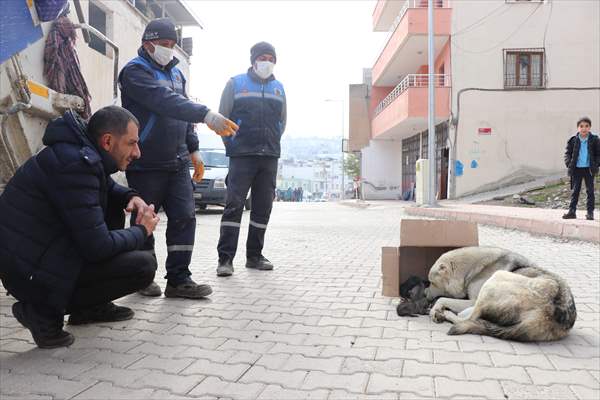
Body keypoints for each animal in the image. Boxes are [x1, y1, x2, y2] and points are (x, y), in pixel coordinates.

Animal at [426, 247, 576, 340]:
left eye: (432, 283)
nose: (425, 294)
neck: (471, 271)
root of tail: (546, 314)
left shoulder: (472, 300)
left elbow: (442, 299)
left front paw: (435, 310)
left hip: (496, 278)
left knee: (468, 318)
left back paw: (446, 314)